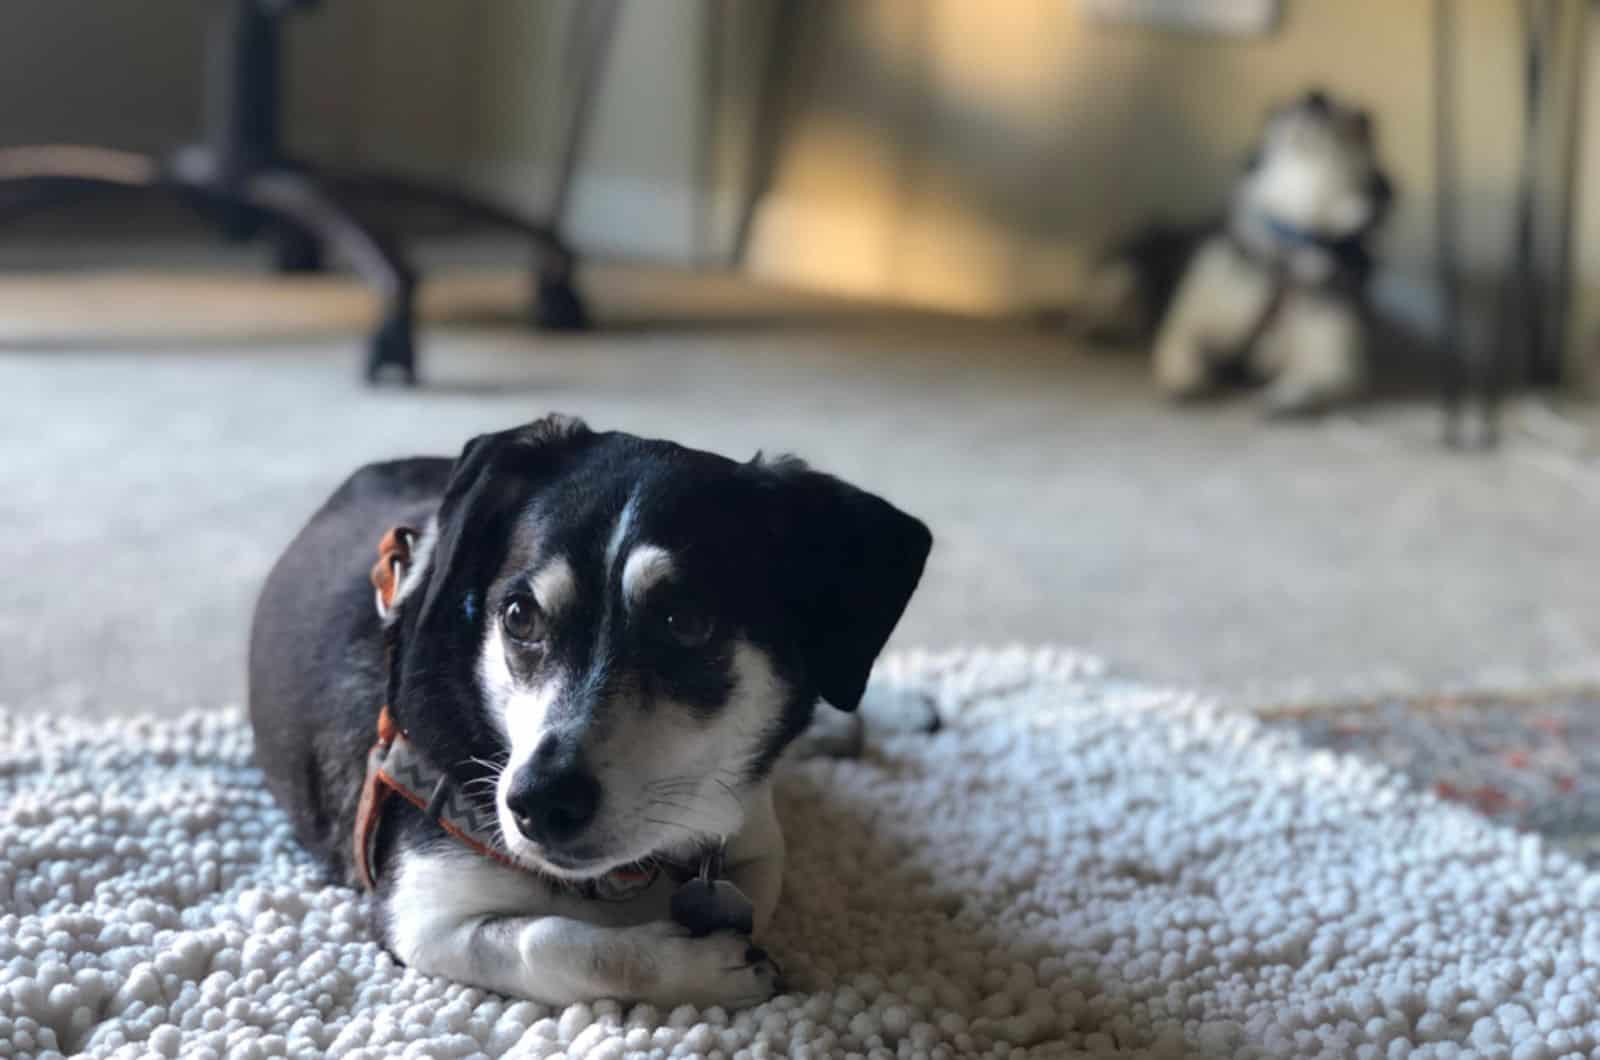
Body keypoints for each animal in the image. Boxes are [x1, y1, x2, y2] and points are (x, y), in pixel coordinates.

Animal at [243, 416, 934, 1011]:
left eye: (686, 623)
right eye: (518, 615)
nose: (540, 802)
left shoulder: (753, 828)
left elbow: (751, 890)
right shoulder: (421, 916)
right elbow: (559, 943)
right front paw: (707, 967)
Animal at [1081, 90, 1395, 416]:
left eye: (1361, 120)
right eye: (1285, 105)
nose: (1315, 95)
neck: (1286, 253)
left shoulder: (1337, 359)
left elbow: (1320, 380)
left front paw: (1287, 396)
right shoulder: (1194, 320)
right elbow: (1182, 345)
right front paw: (1185, 378)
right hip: (1122, 273)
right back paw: (1103, 328)